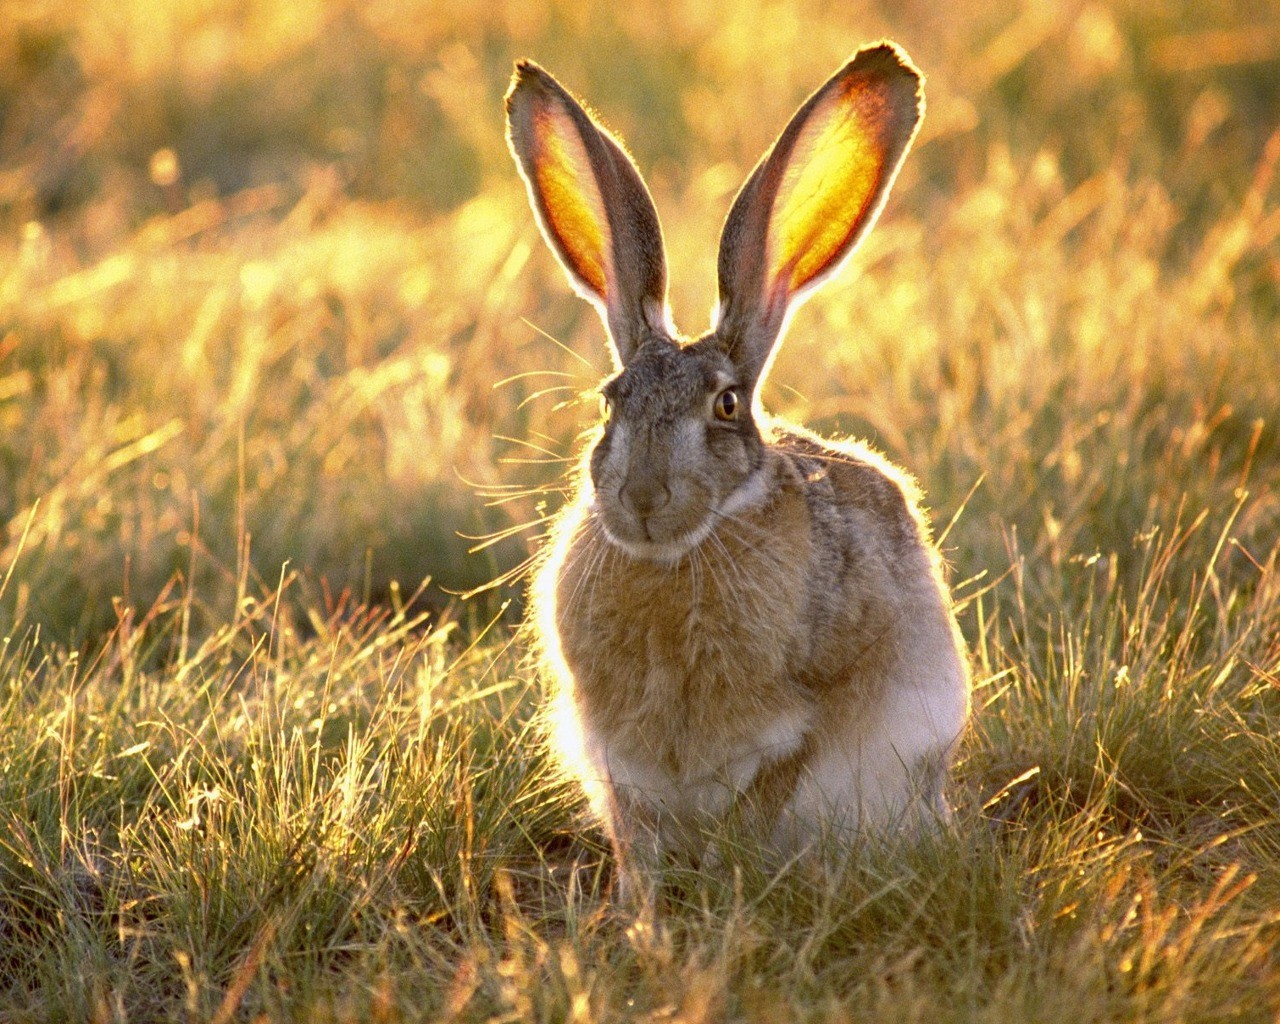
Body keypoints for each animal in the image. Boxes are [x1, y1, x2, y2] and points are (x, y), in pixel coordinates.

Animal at [505, 42, 970, 888]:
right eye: (609, 402)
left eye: (726, 406)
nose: (643, 497)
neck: (677, 558)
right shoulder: (615, 757)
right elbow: (636, 831)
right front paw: (642, 903)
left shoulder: (803, 728)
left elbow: (763, 802)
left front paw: (731, 883)